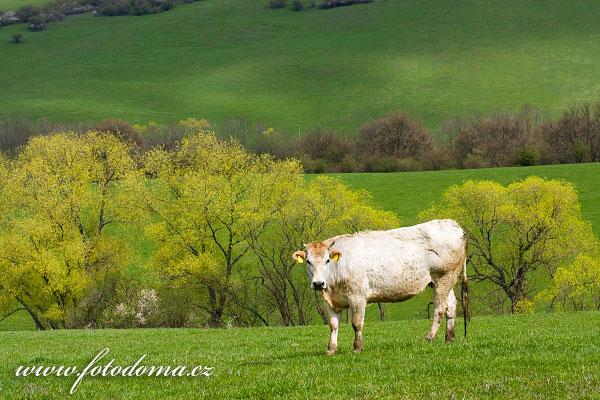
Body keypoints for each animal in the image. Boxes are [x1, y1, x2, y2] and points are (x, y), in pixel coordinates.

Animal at [292, 220, 468, 354]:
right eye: (308, 261)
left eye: (327, 260)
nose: (318, 283)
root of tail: (453, 224)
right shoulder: (331, 301)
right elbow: (333, 325)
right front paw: (331, 349)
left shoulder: (357, 296)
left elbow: (356, 323)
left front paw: (357, 348)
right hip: (445, 280)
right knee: (451, 305)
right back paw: (449, 338)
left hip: (444, 277)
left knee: (440, 308)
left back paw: (429, 337)